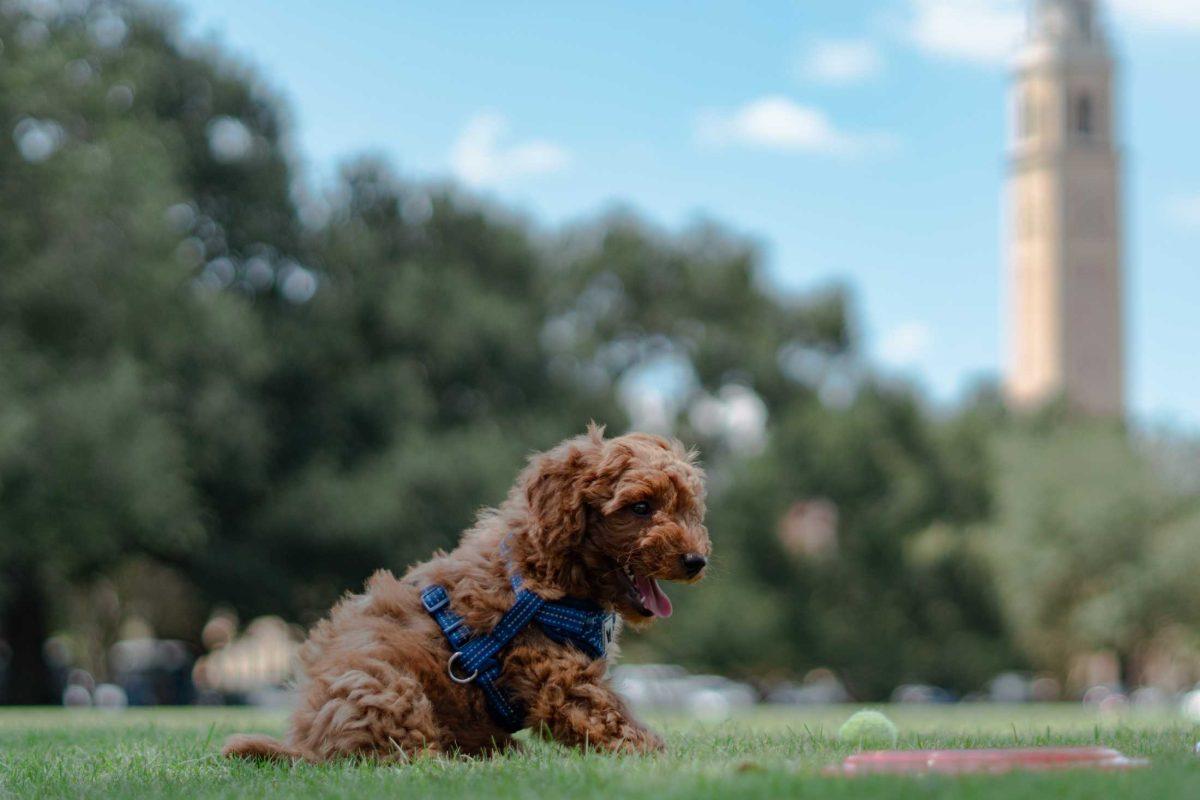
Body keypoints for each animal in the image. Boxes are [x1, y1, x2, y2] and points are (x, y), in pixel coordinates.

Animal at [225, 424, 705, 762]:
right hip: (384, 685)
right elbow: (608, 718)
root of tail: (305, 743)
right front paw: (665, 757)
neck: (547, 573)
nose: (696, 560)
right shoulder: (556, 671)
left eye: (688, 510)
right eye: (640, 507)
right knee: (402, 753)